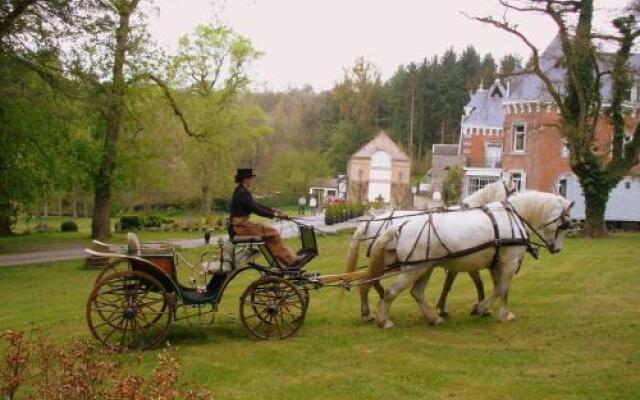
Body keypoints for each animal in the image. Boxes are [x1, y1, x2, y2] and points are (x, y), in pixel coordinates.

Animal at [348, 177, 516, 320]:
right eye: (514, 190)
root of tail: (371, 220)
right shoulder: (463, 261)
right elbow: (459, 284)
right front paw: (477, 308)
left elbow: (469, 283)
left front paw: (478, 307)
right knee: (371, 279)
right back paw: (374, 307)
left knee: (370, 279)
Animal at [368, 192, 572, 330]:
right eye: (564, 225)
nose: (557, 249)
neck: (514, 217)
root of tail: (403, 224)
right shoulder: (509, 263)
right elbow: (502, 289)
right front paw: (494, 311)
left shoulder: (496, 263)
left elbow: (498, 288)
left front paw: (488, 309)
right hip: (414, 269)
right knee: (391, 291)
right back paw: (384, 320)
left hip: (425, 268)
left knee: (417, 293)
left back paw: (433, 318)